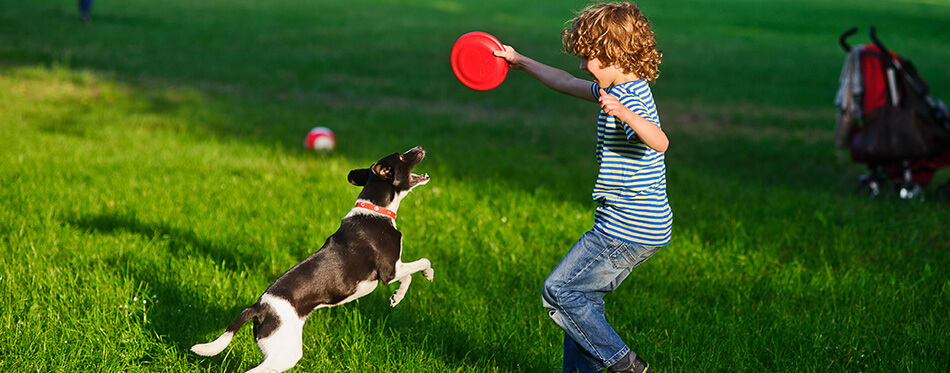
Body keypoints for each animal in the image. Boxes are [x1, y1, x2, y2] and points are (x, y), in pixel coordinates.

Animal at [192, 145, 436, 372]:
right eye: (402, 156)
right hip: (287, 352)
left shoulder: (395, 269)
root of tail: (259, 307)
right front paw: (428, 274)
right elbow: (423, 262)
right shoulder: (389, 270)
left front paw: (397, 297)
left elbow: (408, 277)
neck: (376, 209)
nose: (420, 148)